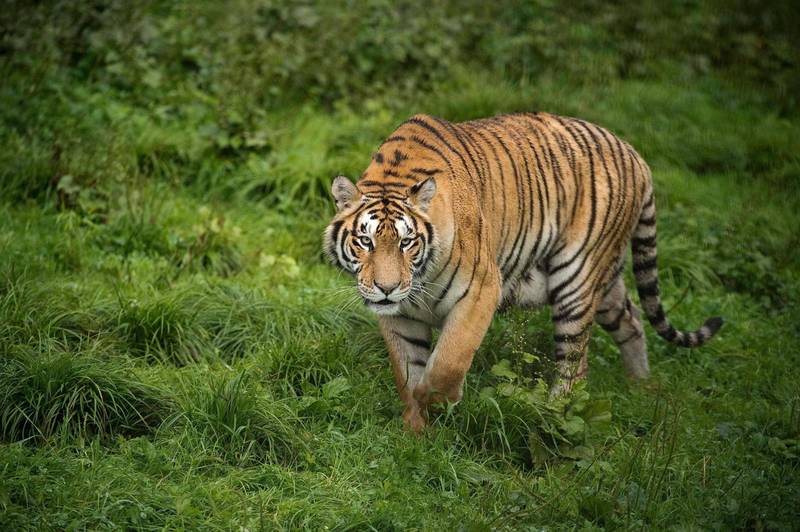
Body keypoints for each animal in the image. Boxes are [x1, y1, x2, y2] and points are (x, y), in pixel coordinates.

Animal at [322, 112, 720, 432]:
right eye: (365, 242)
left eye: (407, 243)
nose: (386, 288)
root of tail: (634, 153)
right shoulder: (399, 316)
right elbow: (407, 370)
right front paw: (416, 431)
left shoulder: (481, 290)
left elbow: (447, 361)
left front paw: (435, 401)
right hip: (606, 284)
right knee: (633, 320)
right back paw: (641, 386)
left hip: (576, 278)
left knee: (575, 366)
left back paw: (551, 414)